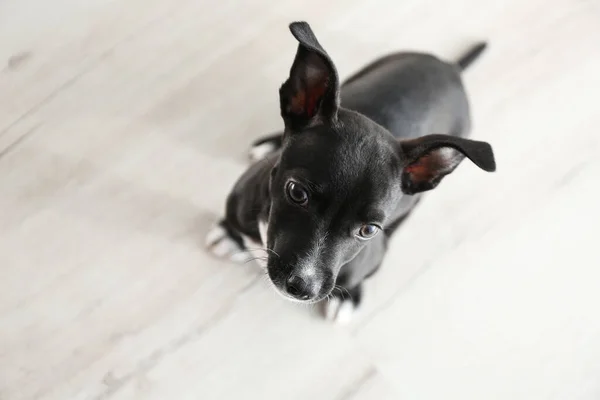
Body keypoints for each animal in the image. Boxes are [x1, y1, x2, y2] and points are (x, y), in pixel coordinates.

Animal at [206, 20, 496, 324]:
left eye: (368, 230)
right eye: (296, 192)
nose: (303, 286)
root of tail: (450, 67)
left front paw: (350, 296)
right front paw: (231, 235)